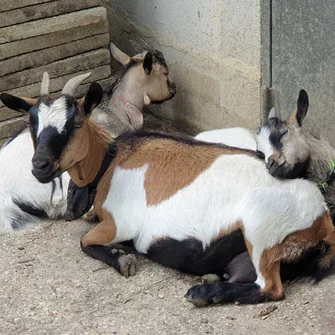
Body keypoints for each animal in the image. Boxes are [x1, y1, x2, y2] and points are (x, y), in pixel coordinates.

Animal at [2, 80, 335, 308]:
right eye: (31, 124)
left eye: (75, 122)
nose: (40, 166)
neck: (111, 160)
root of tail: (322, 217)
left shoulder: (120, 224)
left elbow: (85, 242)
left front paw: (122, 260)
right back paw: (211, 281)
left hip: (260, 226)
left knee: (270, 288)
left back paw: (202, 293)